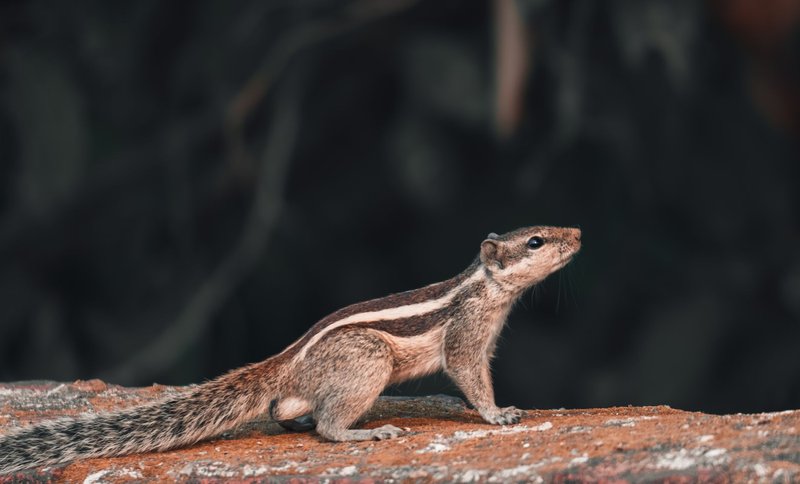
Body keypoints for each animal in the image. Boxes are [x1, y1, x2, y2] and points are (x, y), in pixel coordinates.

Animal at [0, 225, 581, 473]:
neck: (486, 286)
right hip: (368, 360)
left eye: (548, 229)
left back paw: (298, 419)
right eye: (535, 241)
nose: (575, 232)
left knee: (288, 410)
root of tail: (284, 365)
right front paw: (498, 414)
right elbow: (469, 376)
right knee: (328, 426)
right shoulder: (466, 336)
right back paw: (365, 432)